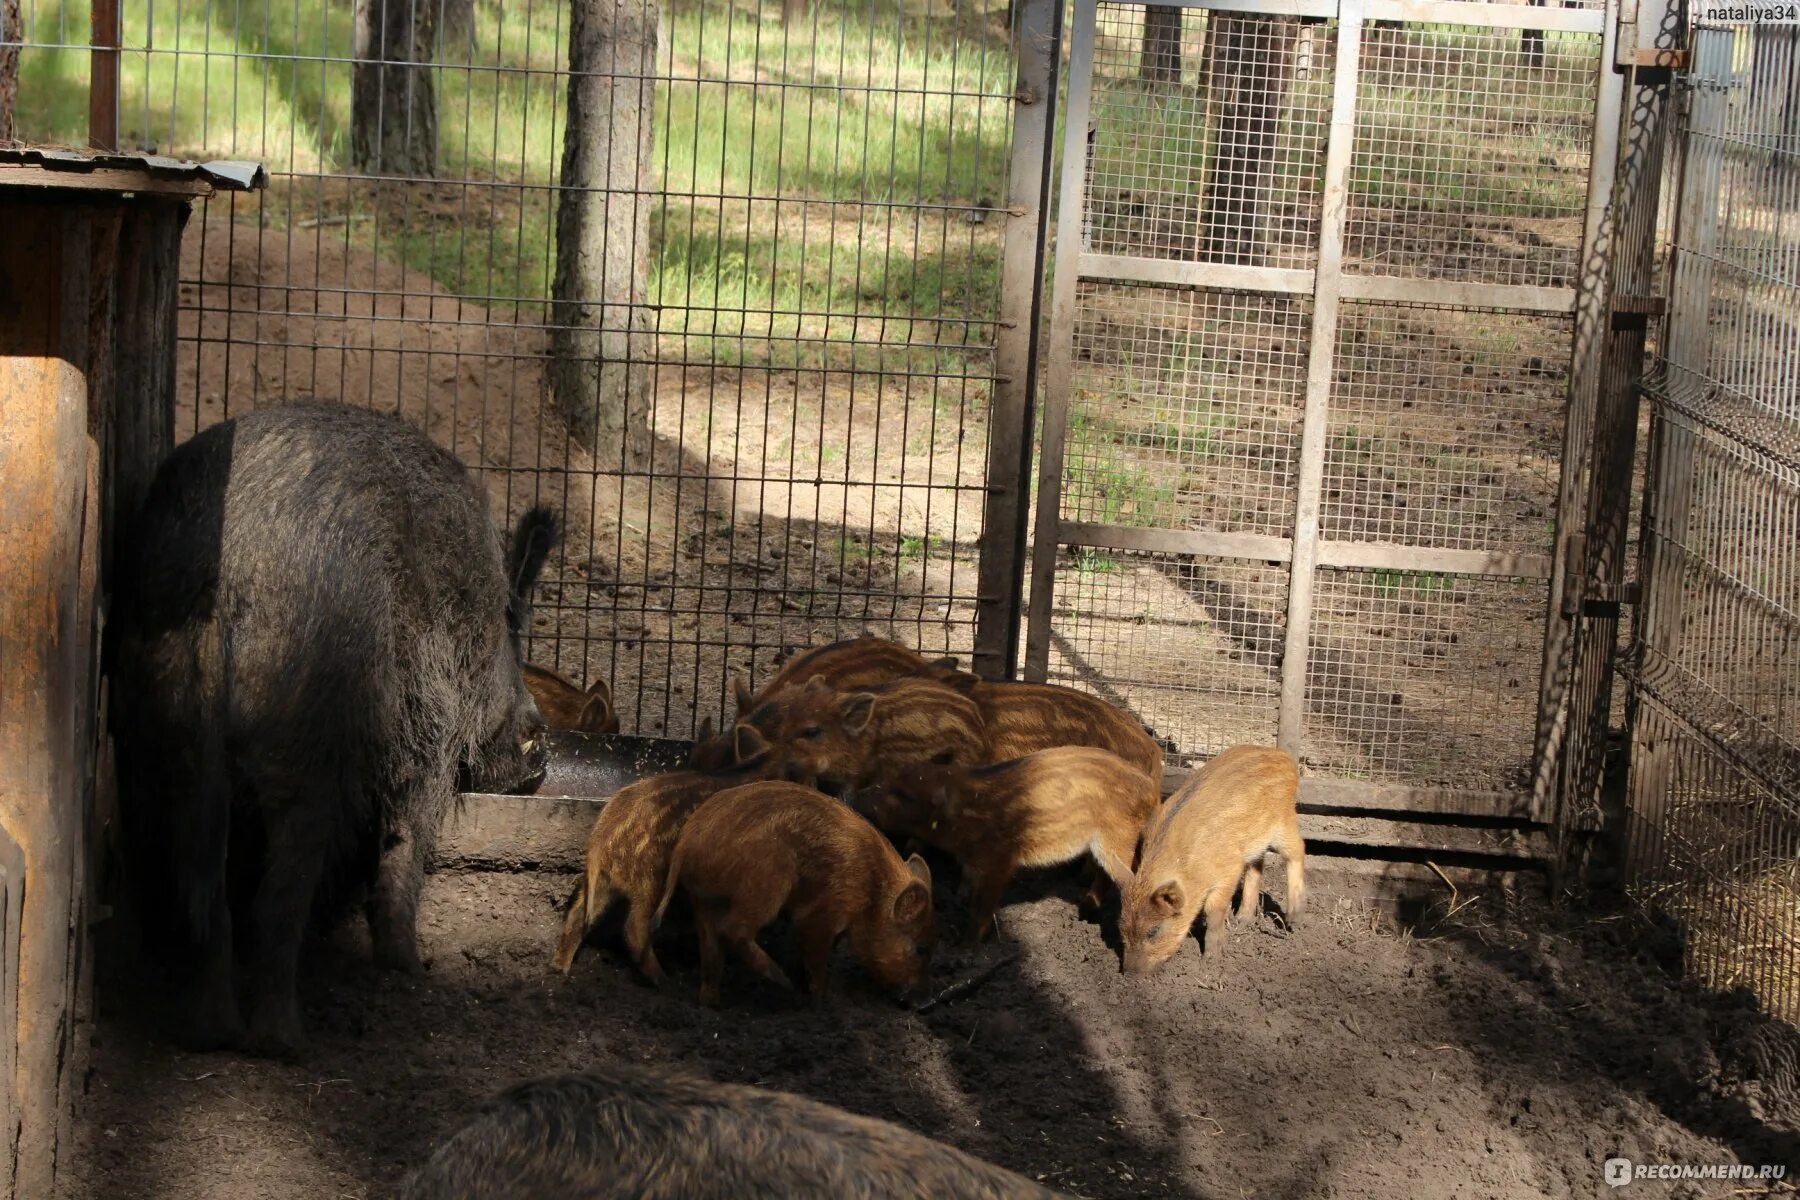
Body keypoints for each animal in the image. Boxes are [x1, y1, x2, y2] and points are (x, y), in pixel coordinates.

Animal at [112, 401, 554, 1050]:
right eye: (512, 622)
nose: (541, 745)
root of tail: (233, 565)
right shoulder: (429, 727)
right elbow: (407, 835)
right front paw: (410, 968)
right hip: (311, 730)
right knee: (282, 884)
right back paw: (285, 1040)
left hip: (167, 722)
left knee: (199, 871)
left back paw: (212, 1030)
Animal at [658, 784, 936, 1007]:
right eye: (921, 948)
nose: (928, 1003)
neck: (872, 891)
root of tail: (685, 844)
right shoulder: (821, 913)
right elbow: (816, 957)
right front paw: (822, 999)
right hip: (768, 881)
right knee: (733, 930)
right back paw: (783, 982)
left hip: (703, 901)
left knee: (711, 951)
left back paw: (712, 1003)